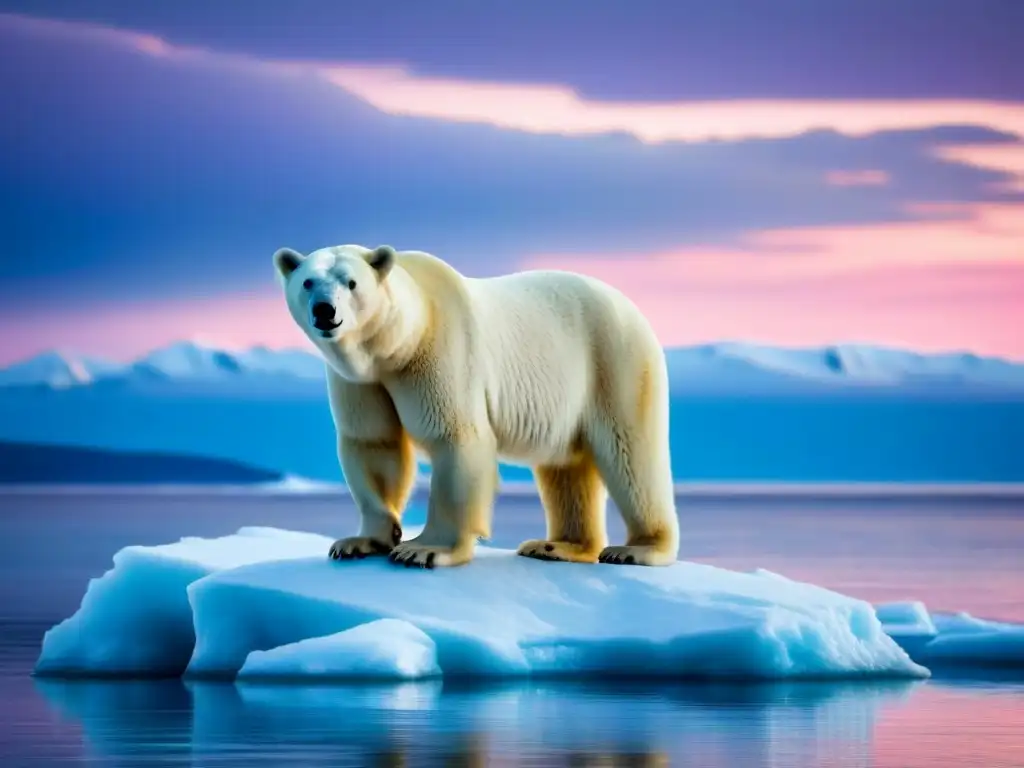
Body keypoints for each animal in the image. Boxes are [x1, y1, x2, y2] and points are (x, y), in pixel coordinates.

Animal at [274, 243, 679, 569]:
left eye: (351, 283)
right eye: (308, 282)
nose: (325, 311)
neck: (399, 341)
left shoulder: (440, 350)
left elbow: (453, 437)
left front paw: (424, 550)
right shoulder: (361, 381)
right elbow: (373, 442)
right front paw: (359, 542)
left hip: (614, 361)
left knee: (630, 454)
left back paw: (637, 549)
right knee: (566, 465)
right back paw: (557, 546)